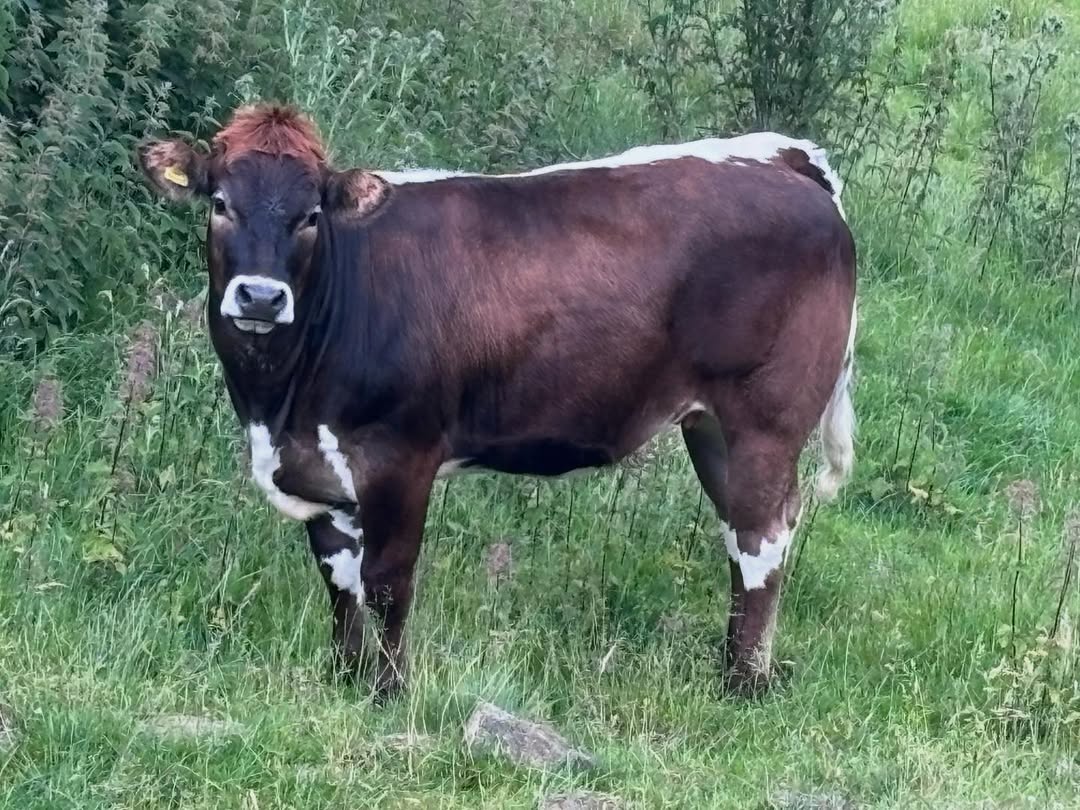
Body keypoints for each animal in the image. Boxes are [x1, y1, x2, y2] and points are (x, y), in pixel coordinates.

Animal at [137, 103, 856, 700]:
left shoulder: (400, 456)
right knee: (743, 529)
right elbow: (339, 579)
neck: (279, 401)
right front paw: (342, 677)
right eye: (220, 203)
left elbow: (387, 581)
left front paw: (387, 693)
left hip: (764, 417)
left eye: (310, 216)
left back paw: (743, 685)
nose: (261, 297)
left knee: (762, 537)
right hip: (711, 427)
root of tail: (779, 158)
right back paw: (736, 666)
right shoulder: (319, 460)